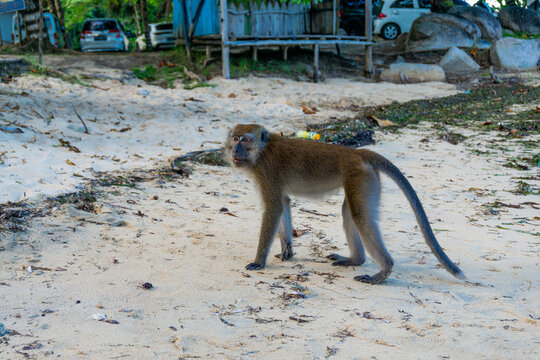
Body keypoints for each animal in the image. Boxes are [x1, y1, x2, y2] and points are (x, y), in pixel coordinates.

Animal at [226, 124, 466, 284]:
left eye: (244, 140)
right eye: (235, 138)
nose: (234, 150)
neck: (262, 151)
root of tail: (358, 152)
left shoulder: (267, 172)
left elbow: (274, 208)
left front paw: (259, 261)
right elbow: (283, 204)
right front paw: (287, 252)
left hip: (360, 177)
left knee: (360, 215)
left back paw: (383, 272)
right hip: (366, 179)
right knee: (349, 211)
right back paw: (356, 260)